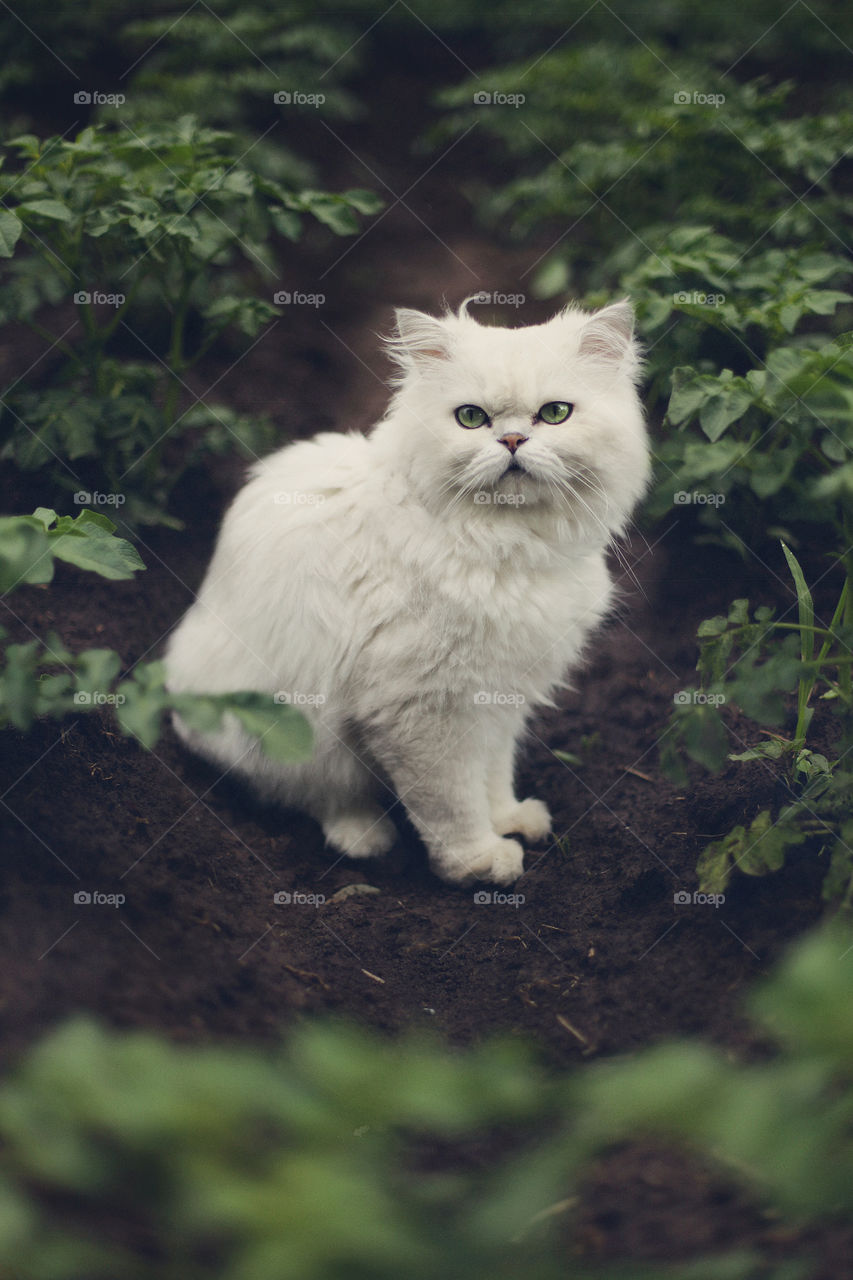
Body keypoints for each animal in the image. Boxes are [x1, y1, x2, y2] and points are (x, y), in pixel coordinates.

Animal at [163, 295, 645, 885]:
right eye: (471, 418)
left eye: (555, 413)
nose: (512, 441)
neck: (506, 544)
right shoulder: (421, 707)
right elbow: (451, 803)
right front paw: (478, 863)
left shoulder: (499, 695)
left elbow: (491, 774)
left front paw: (509, 821)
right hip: (292, 732)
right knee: (315, 796)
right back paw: (366, 837)